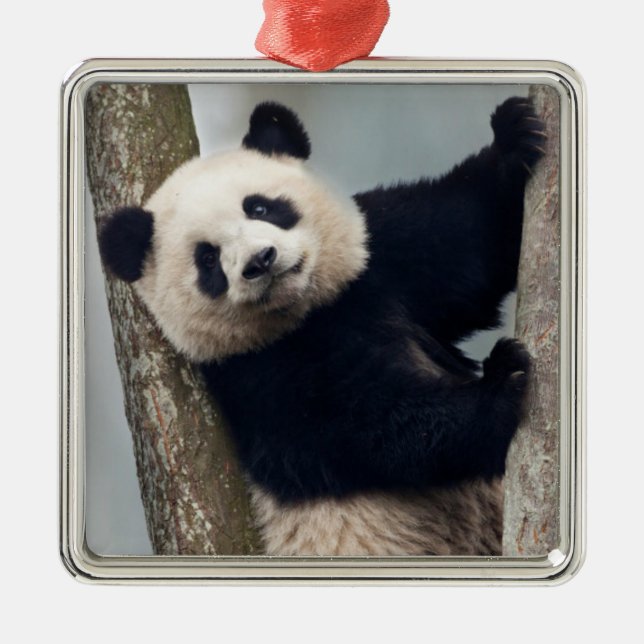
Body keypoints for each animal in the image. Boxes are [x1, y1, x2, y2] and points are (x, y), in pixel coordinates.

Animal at [99, 98, 544, 556]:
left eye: (259, 207)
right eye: (207, 259)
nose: (260, 261)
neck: (307, 312)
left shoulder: (381, 260)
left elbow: (467, 242)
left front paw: (515, 136)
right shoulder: (258, 376)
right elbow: (374, 427)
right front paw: (503, 385)